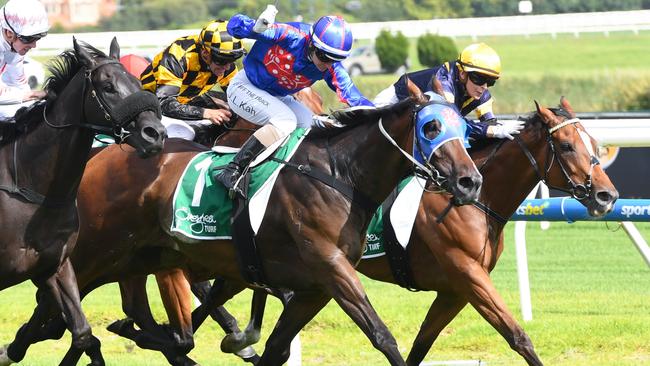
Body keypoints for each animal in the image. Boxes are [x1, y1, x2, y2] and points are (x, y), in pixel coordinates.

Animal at [6, 85, 480, 364]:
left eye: (465, 129)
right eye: (431, 126)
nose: (469, 181)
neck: (339, 175)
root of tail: (100, 155)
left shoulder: (313, 286)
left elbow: (275, 345)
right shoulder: (331, 268)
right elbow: (381, 336)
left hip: (140, 256)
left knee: (107, 310)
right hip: (98, 251)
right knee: (58, 300)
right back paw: (23, 344)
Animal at [168, 96, 616, 364]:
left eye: (595, 142)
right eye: (569, 147)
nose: (607, 196)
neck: (479, 200)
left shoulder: (454, 290)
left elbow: (422, 344)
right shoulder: (467, 274)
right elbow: (517, 335)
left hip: (245, 261)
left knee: (218, 296)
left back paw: (232, 338)